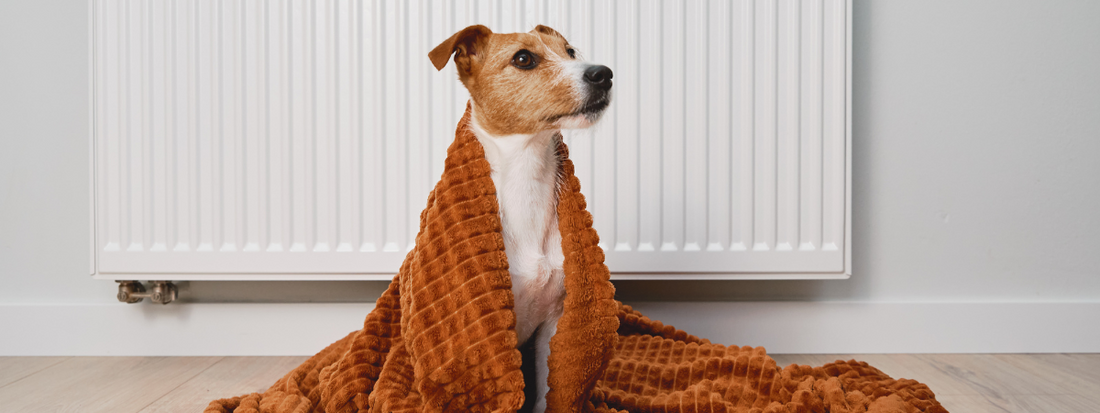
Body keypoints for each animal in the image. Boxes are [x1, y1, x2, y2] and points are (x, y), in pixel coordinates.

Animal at [429, 25, 616, 411]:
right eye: (523, 58)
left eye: (570, 51)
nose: (603, 74)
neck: (526, 175)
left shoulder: (554, 327)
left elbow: (547, 395)